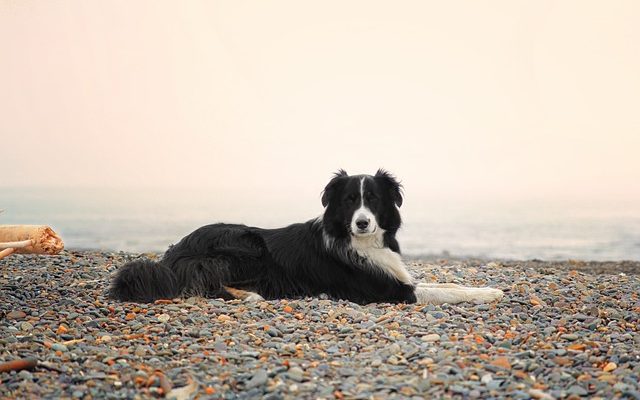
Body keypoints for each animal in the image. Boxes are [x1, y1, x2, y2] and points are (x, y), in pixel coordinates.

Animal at [107, 170, 502, 304]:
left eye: (373, 200)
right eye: (349, 200)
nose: (362, 223)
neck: (357, 242)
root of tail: (172, 255)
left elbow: (449, 284)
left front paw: (490, 288)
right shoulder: (389, 291)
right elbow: (444, 291)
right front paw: (491, 294)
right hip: (245, 245)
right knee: (205, 285)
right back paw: (251, 296)